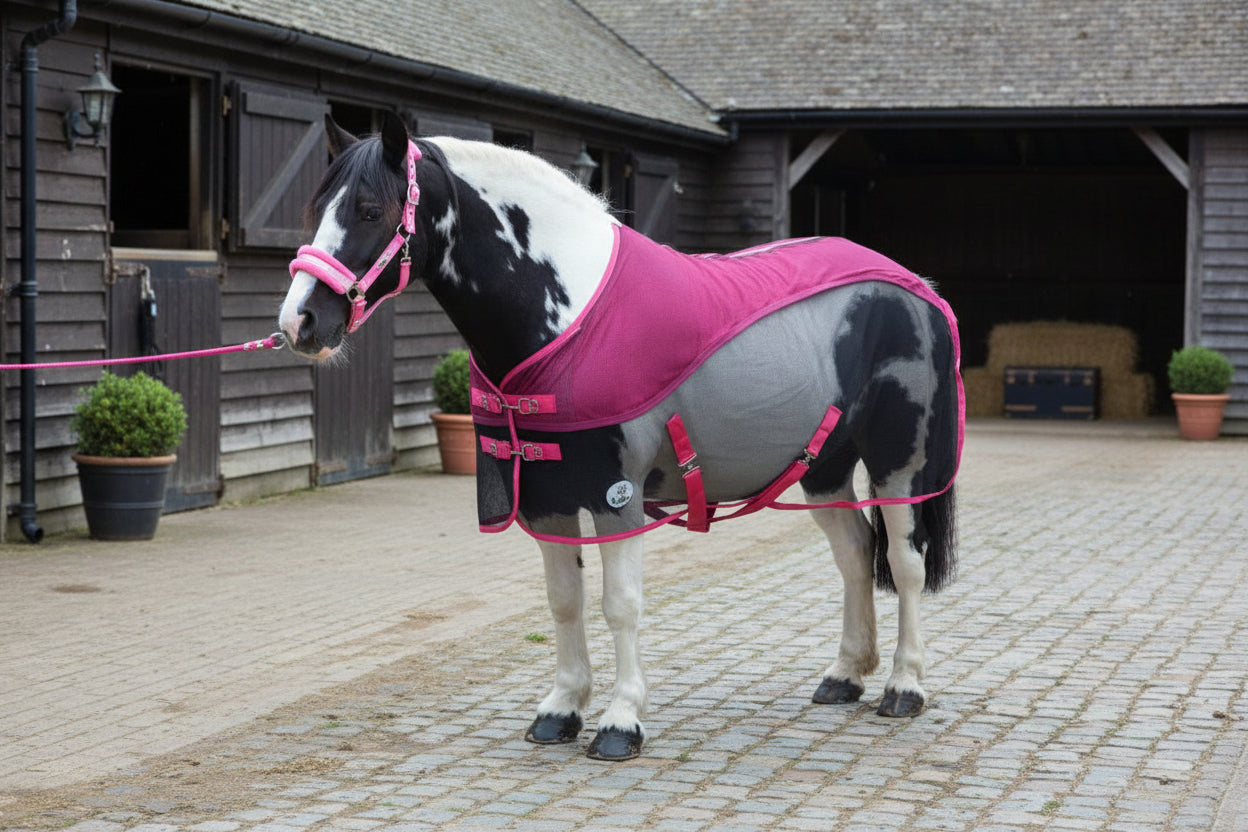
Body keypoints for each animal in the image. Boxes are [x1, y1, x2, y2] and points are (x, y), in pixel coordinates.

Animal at [279, 111, 962, 762]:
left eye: (371, 210)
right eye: (317, 208)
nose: (299, 321)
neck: (571, 317)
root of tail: (920, 289)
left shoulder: (618, 498)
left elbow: (620, 604)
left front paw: (620, 721)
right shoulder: (546, 498)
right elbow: (564, 600)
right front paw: (561, 709)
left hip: (899, 467)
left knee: (904, 563)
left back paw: (904, 686)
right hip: (823, 471)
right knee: (854, 554)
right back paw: (846, 675)